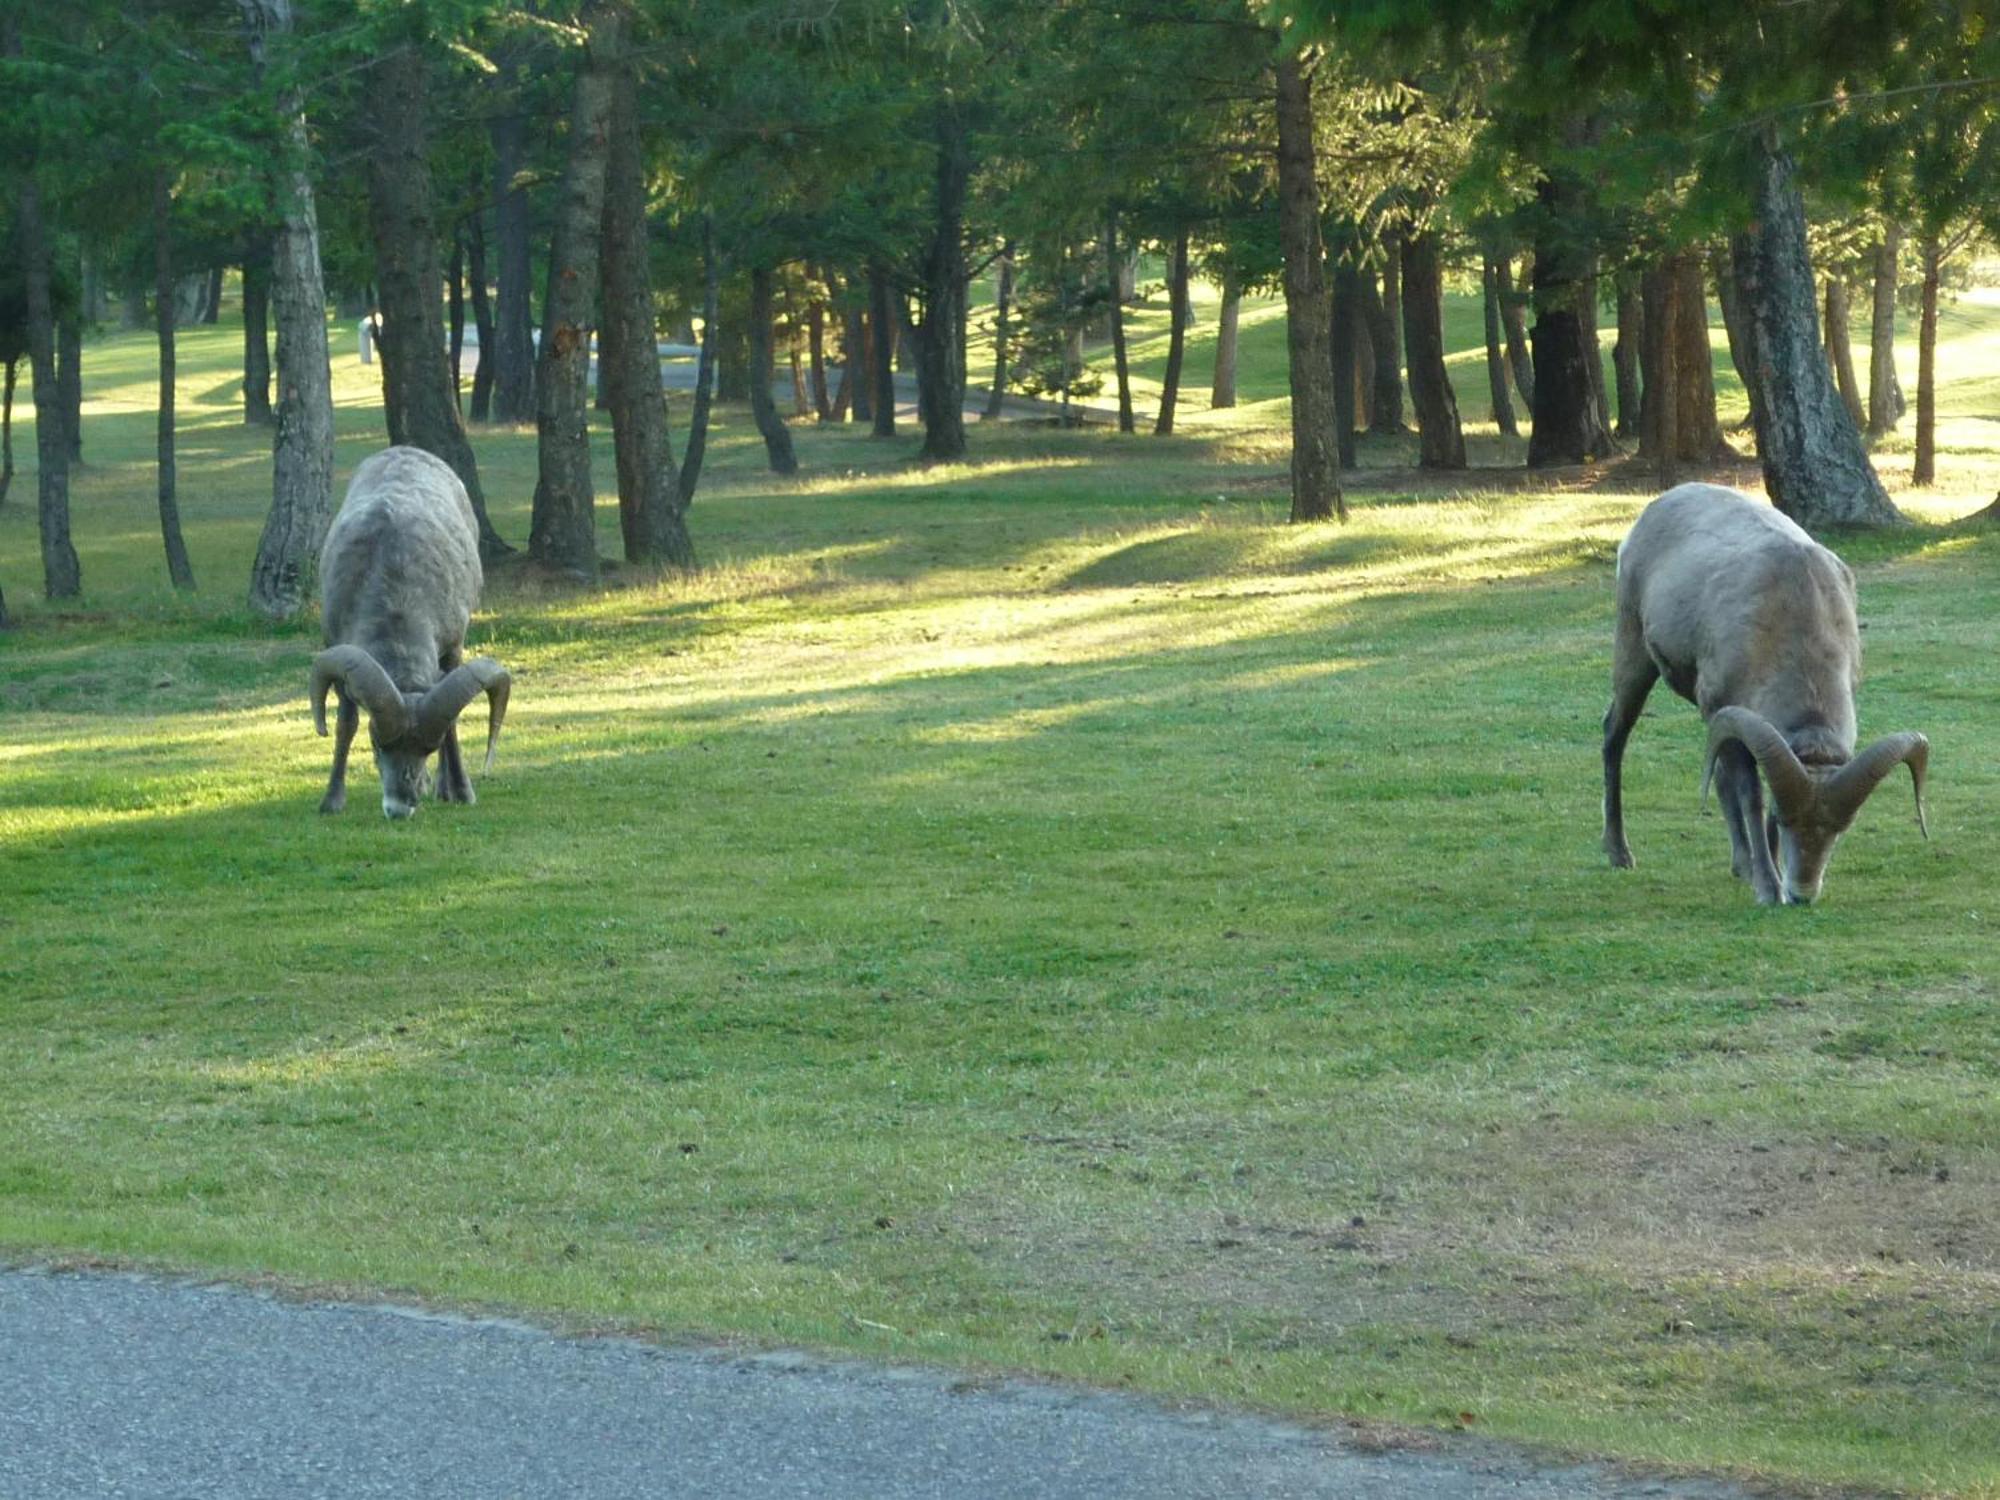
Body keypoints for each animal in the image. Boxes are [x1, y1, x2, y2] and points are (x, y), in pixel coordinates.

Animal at [306, 446, 508, 824]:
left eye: (428, 747)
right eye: (376, 742)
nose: (401, 806)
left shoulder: (452, 648)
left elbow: (453, 728)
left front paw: (462, 792)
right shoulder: (335, 646)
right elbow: (345, 724)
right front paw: (332, 801)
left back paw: (442, 787)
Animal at [1600, 488, 1928, 904]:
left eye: (1839, 830)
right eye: (1788, 821)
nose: (1802, 893)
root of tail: (1652, 510)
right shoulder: (1728, 712)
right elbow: (1750, 796)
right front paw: (1769, 889)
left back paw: (1741, 865)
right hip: (1635, 656)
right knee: (1615, 736)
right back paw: (1619, 853)